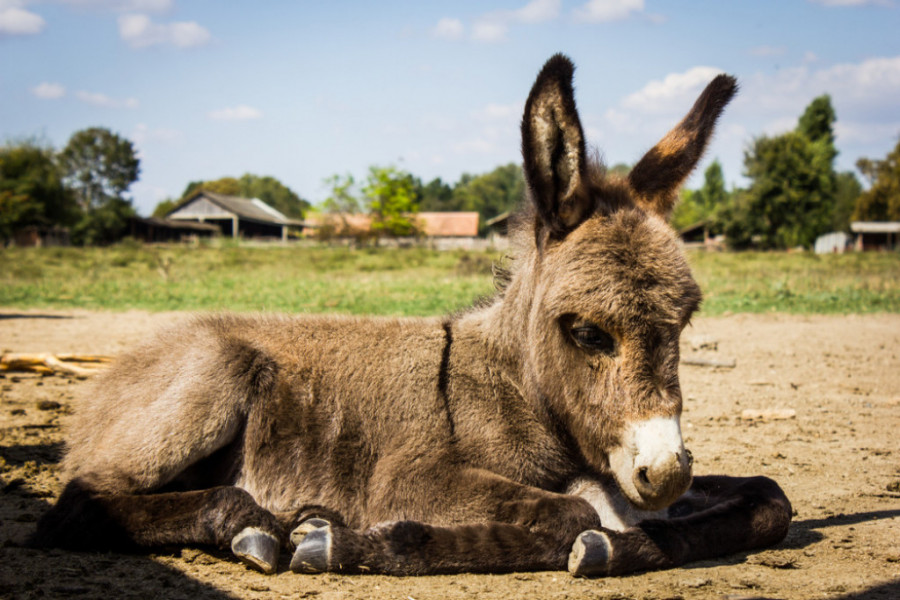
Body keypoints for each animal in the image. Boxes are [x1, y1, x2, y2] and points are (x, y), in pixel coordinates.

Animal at [29, 55, 788, 576]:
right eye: (587, 333)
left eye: (683, 325)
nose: (667, 473)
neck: (517, 391)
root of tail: (118, 368)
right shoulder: (410, 478)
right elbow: (571, 511)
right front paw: (363, 542)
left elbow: (768, 499)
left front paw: (627, 540)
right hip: (212, 374)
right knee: (78, 505)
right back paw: (254, 522)